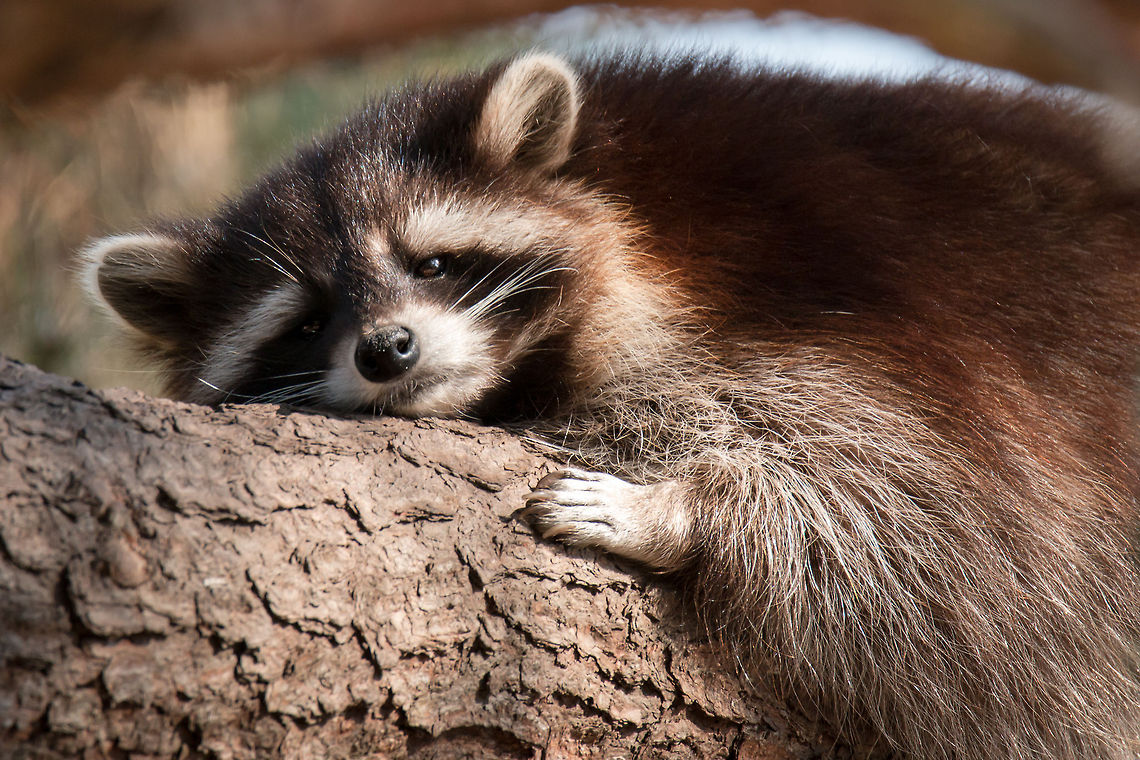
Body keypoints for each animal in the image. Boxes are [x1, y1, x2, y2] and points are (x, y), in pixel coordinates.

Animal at [82, 52, 1140, 759]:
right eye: (306, 322)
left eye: (433, 263)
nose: (386, 350)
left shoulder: (856, 301)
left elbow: (937, 521)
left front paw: (682, 509)